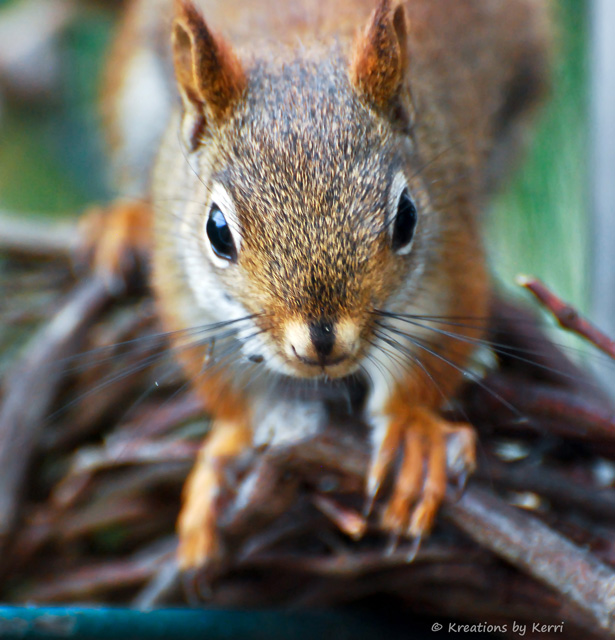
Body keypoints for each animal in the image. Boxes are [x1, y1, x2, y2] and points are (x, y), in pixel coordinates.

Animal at [87, 0, 550, 571]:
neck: (299, 47)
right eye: (216, 231)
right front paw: (224, 456)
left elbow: (426, 362)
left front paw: (413, 433)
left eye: (407, 217)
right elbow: (230, 395)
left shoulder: (450, 265)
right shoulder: (185, 295)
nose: (323, 341)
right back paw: (125, 221)